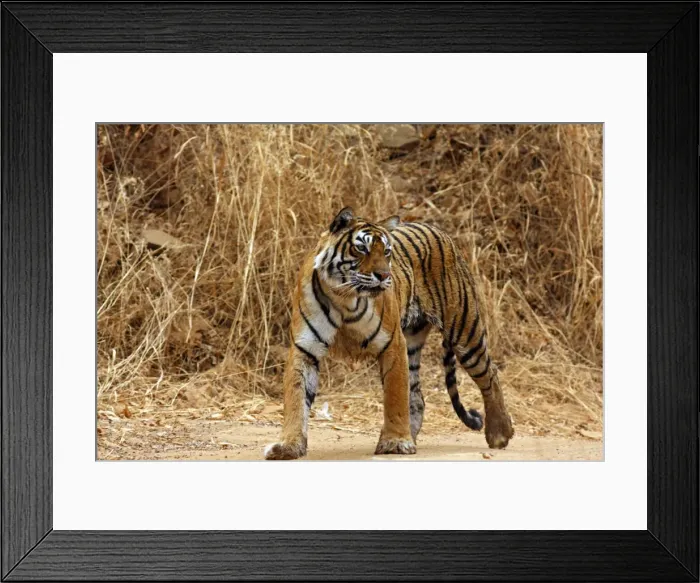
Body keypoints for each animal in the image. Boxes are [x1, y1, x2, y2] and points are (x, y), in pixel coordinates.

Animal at [264, 206, 514, 460]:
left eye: (386, 252)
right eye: (361, 248)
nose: (384, 276)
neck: (344, 298)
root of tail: (439, 230)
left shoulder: (392, 343)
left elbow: (395, 396)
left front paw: (396, 442)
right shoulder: (305, 348)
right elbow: (296, 398)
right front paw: (288, 446)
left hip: (464, 331)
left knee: (490, 374)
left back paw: (499, 433)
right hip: (413, 342)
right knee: (417, 397)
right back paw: (412, 436)